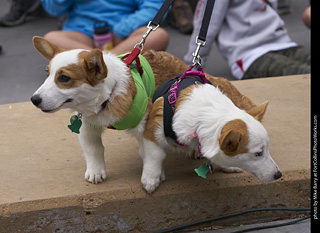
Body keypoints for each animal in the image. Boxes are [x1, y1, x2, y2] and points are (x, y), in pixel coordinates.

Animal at [30, 36, 280, 193]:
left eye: (64, 78)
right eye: (47, 74)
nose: (34, 99)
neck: (106, 100)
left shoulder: (146, 122)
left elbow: (150, 151)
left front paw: (154, 175)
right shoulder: (87, 126)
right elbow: (94, 150)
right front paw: (95, 171)